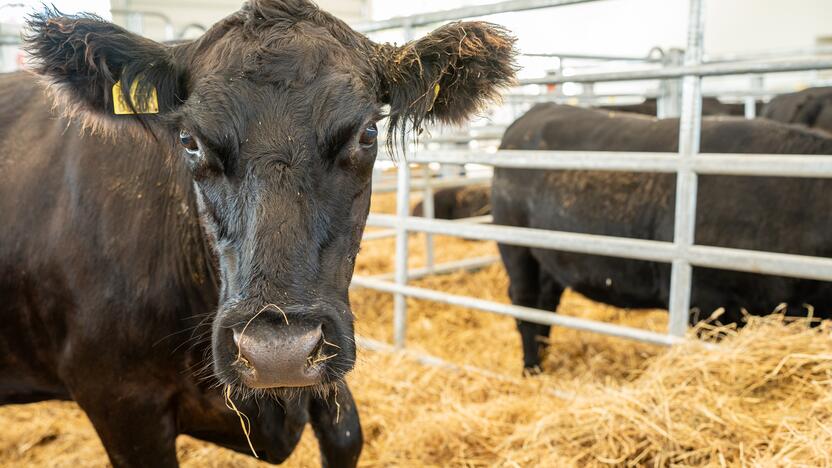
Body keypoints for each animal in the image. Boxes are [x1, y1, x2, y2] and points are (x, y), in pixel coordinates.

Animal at [494, 103, 832, 372]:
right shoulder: (708, 304)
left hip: (549, 261)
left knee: (545, 305)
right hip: (516, 249)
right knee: (525, 304)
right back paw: (532, 369)